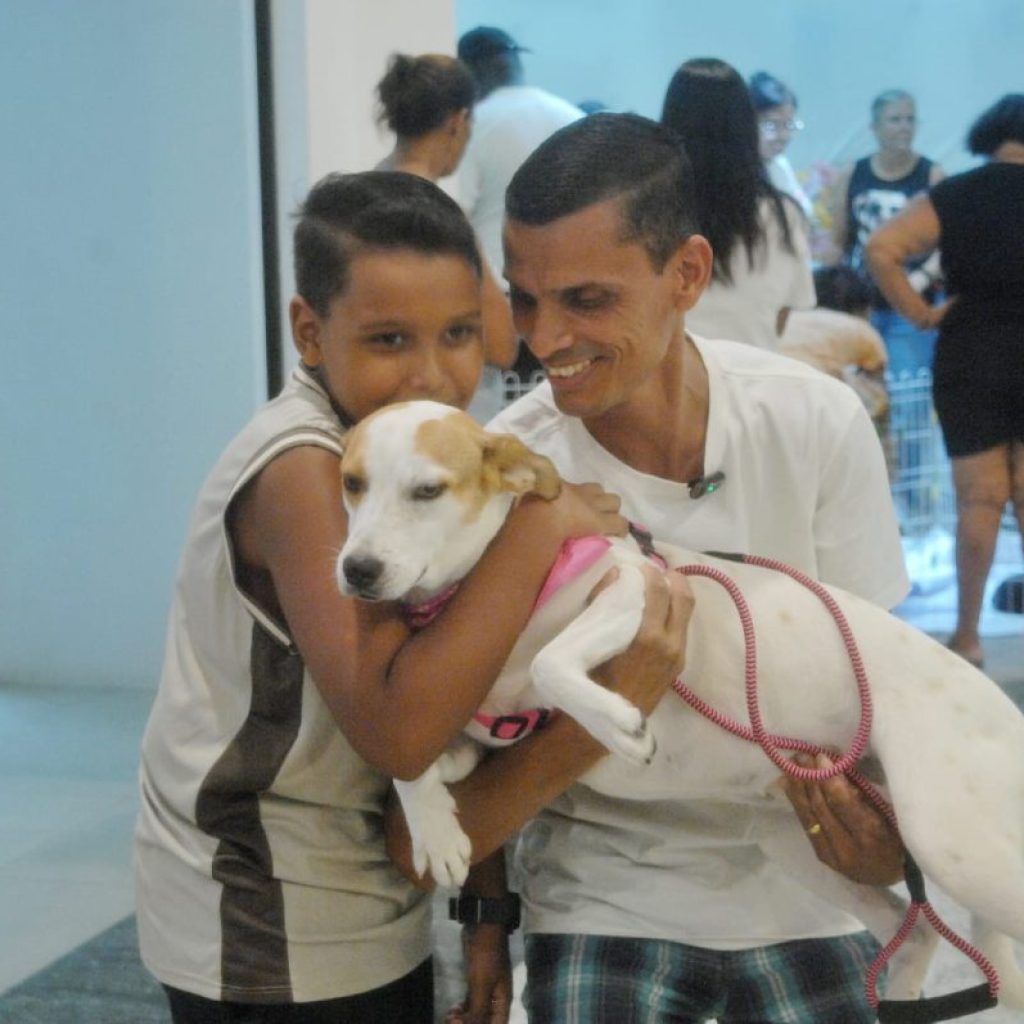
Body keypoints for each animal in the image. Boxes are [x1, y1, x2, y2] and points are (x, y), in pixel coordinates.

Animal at [336, 399, 1024, 1009]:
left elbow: (549, 661)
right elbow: (412, 760)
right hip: (798, 840)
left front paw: (618, 724)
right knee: (919, 934)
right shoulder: (479, 725)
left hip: (950, 842)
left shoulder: (633, 590)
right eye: (351, 483)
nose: (357, 570)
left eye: (428, 490)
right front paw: (436, 829)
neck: (481, 590)